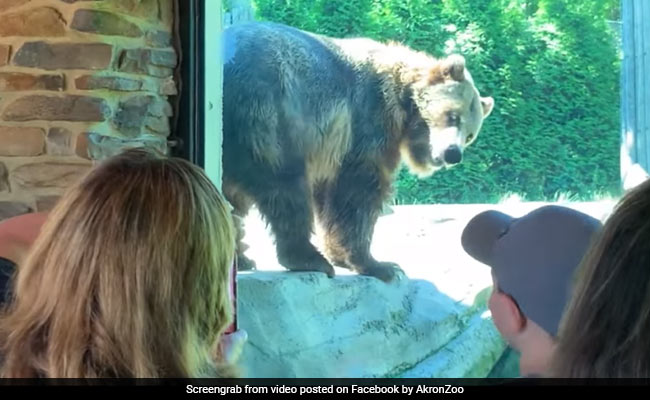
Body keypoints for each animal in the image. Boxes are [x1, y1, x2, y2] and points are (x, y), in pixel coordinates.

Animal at [221, 21, 494, 282]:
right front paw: (380, 265)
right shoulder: (365, 120)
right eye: (452, 116)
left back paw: (243, 257)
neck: (401, 105)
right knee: (285, 187)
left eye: (470, 134)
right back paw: (308, 258)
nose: (452, 153)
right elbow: (358, 193)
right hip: (269, 113)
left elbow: (330, 197)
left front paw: (342, 254)